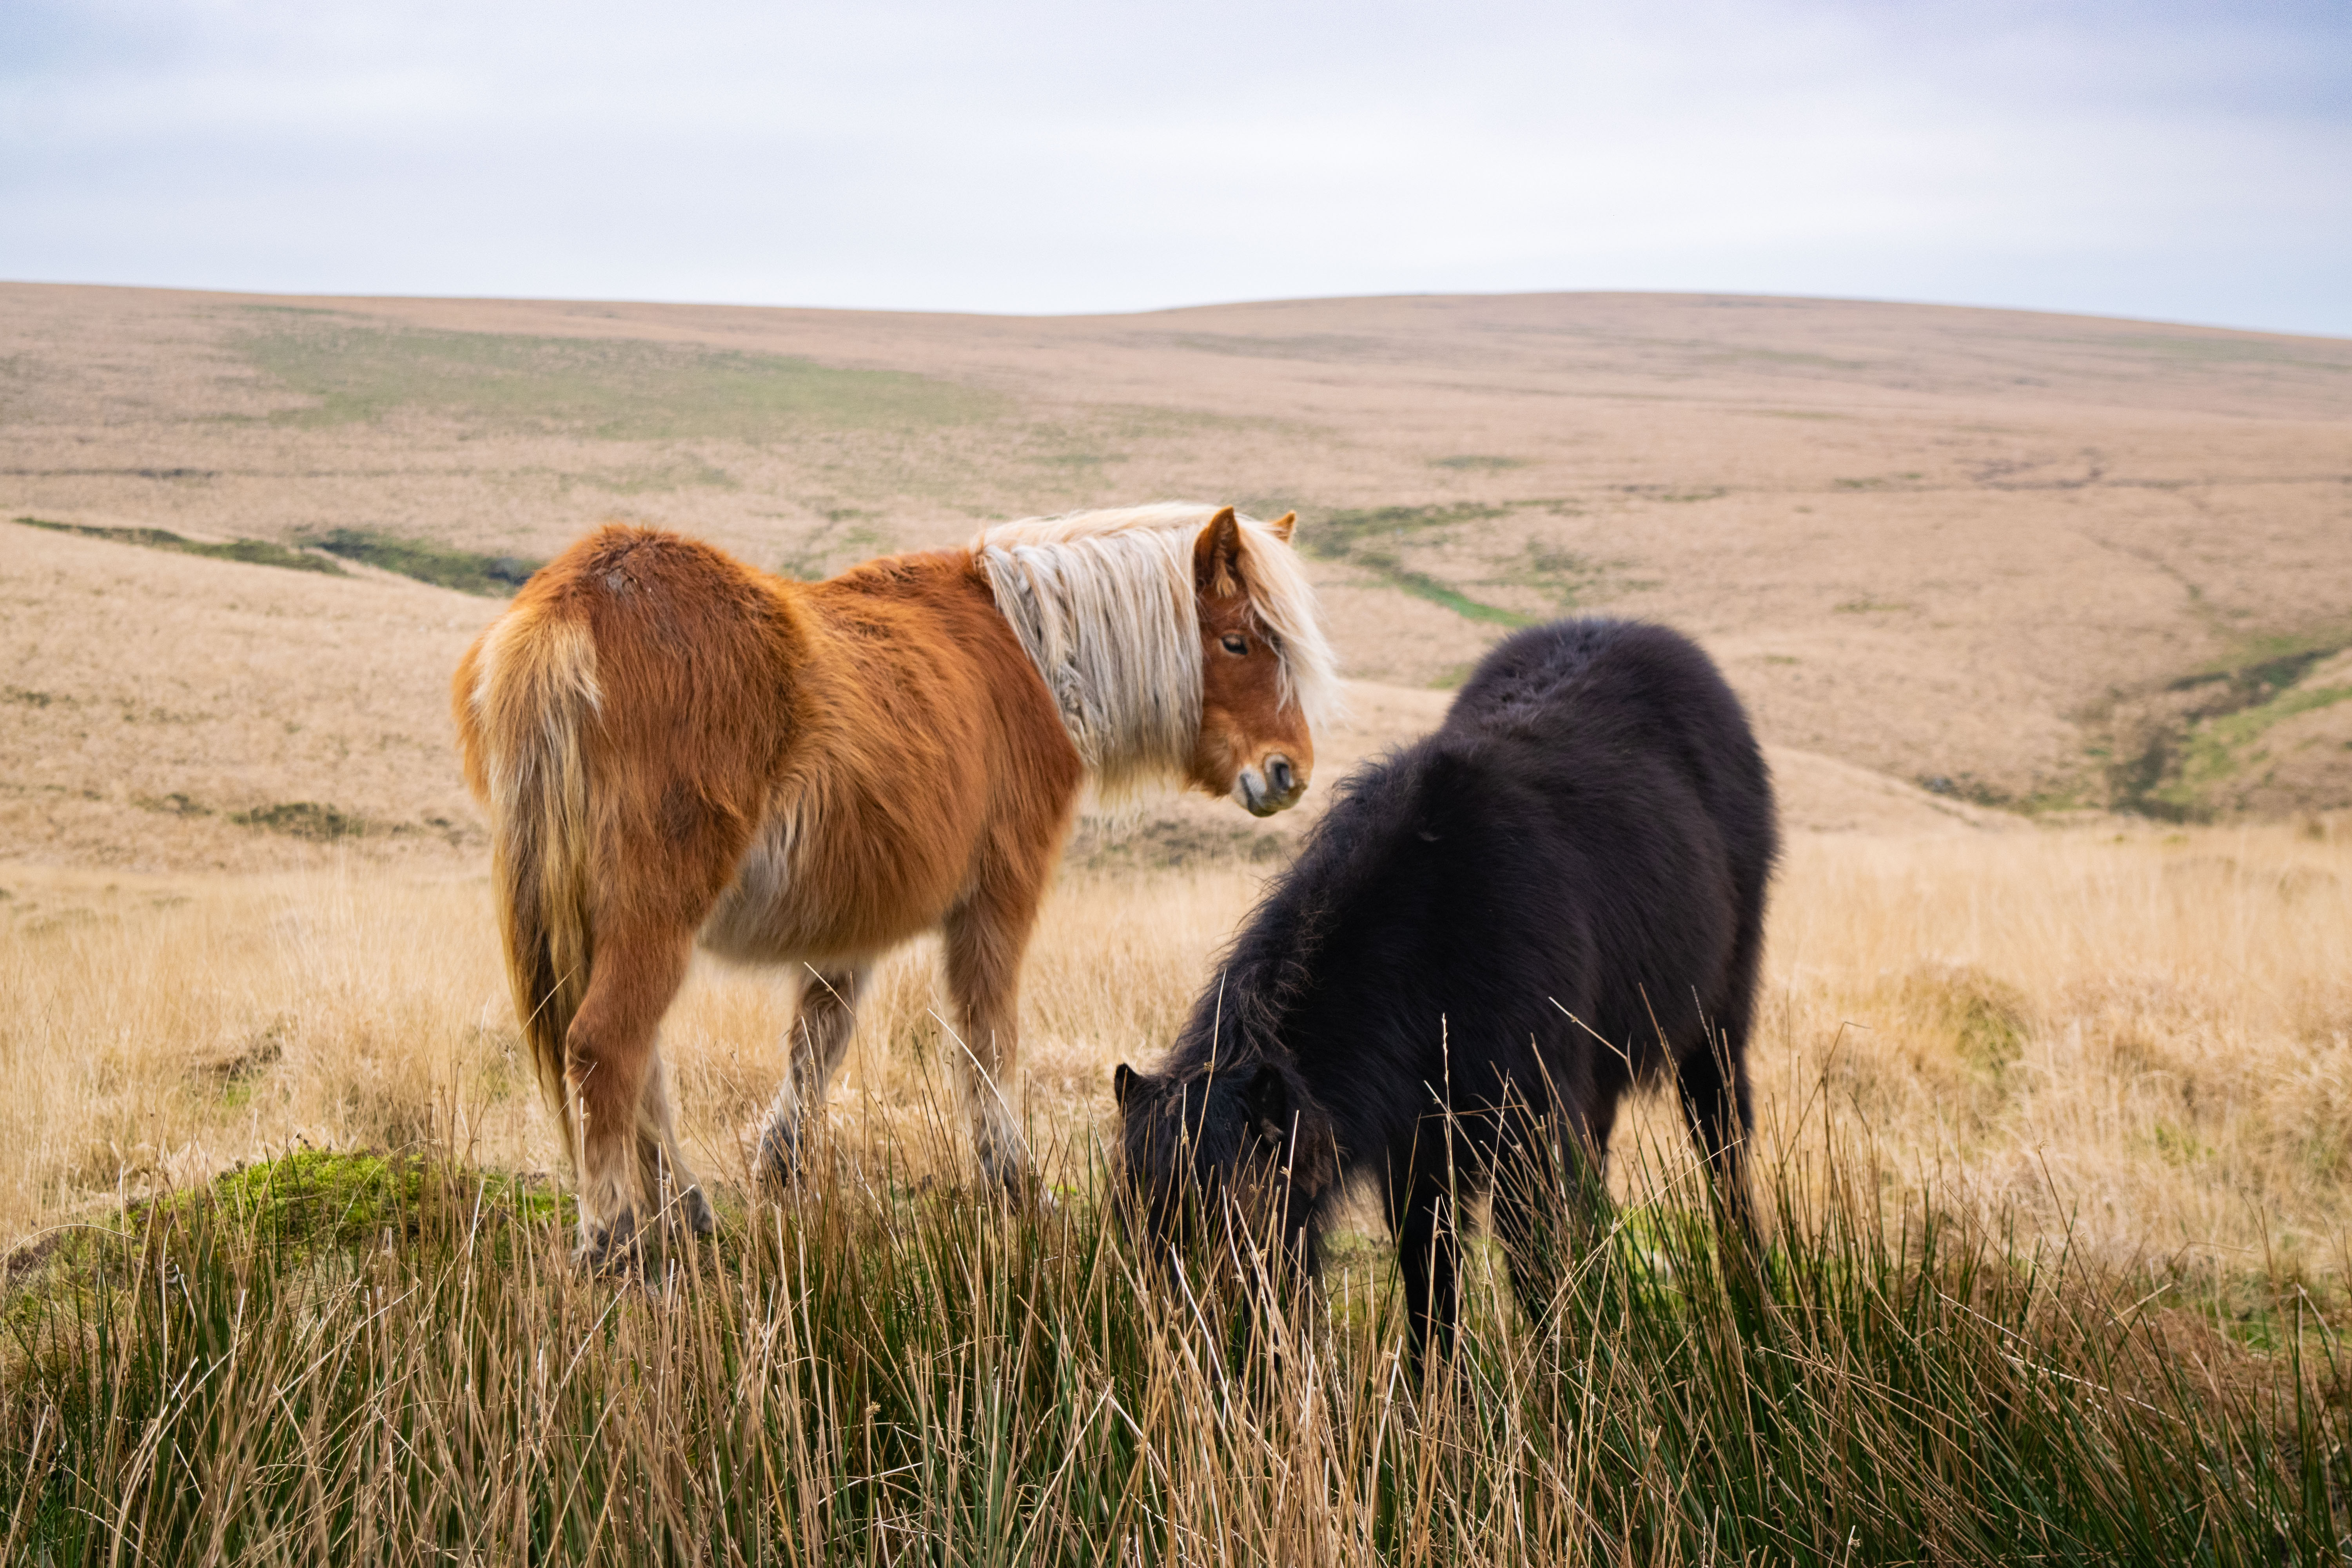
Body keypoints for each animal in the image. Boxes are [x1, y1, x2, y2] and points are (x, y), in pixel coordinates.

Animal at [455, 503, 1337, 1262]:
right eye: (1237, 643)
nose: (1288, 772)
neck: (1030, 654)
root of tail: (572, 605)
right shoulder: (998, 899)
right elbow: (987, 1043)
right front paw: (1016, 1187)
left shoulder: (853, 924)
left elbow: (818, 1043)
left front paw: (782, 1170)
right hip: (656, 913)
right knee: (607, 1047)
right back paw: (614, 1241)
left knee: (641, 1059)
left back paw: (687, 1212)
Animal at [1115, 617, 1777, 1365]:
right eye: (1133, 1222)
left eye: (1241, 1220)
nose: (1186, 1356)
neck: (1438, 929)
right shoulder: (1420, 1154)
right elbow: (1431, 1286)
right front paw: (1441, 1390)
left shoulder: (1527, 1135)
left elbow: (1537, 1271)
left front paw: (1566, 1377)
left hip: (1715, 1031)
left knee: (1723, 1149)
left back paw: (1751, 1303)